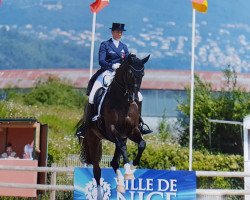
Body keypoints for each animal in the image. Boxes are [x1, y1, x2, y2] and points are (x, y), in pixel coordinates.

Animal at [76, 53, 149, 198]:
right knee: (97, 169)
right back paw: (100, 194)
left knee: (114, 162)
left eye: (142, 74)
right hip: (93, 139)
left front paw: (132, 167)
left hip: (122, 136)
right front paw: (128, 172)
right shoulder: (112, 130)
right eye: (130, 73)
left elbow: (142, 144)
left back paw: (120, 185)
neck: (123, 102)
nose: (134, 98)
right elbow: (123, 147)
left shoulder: (132, 131)